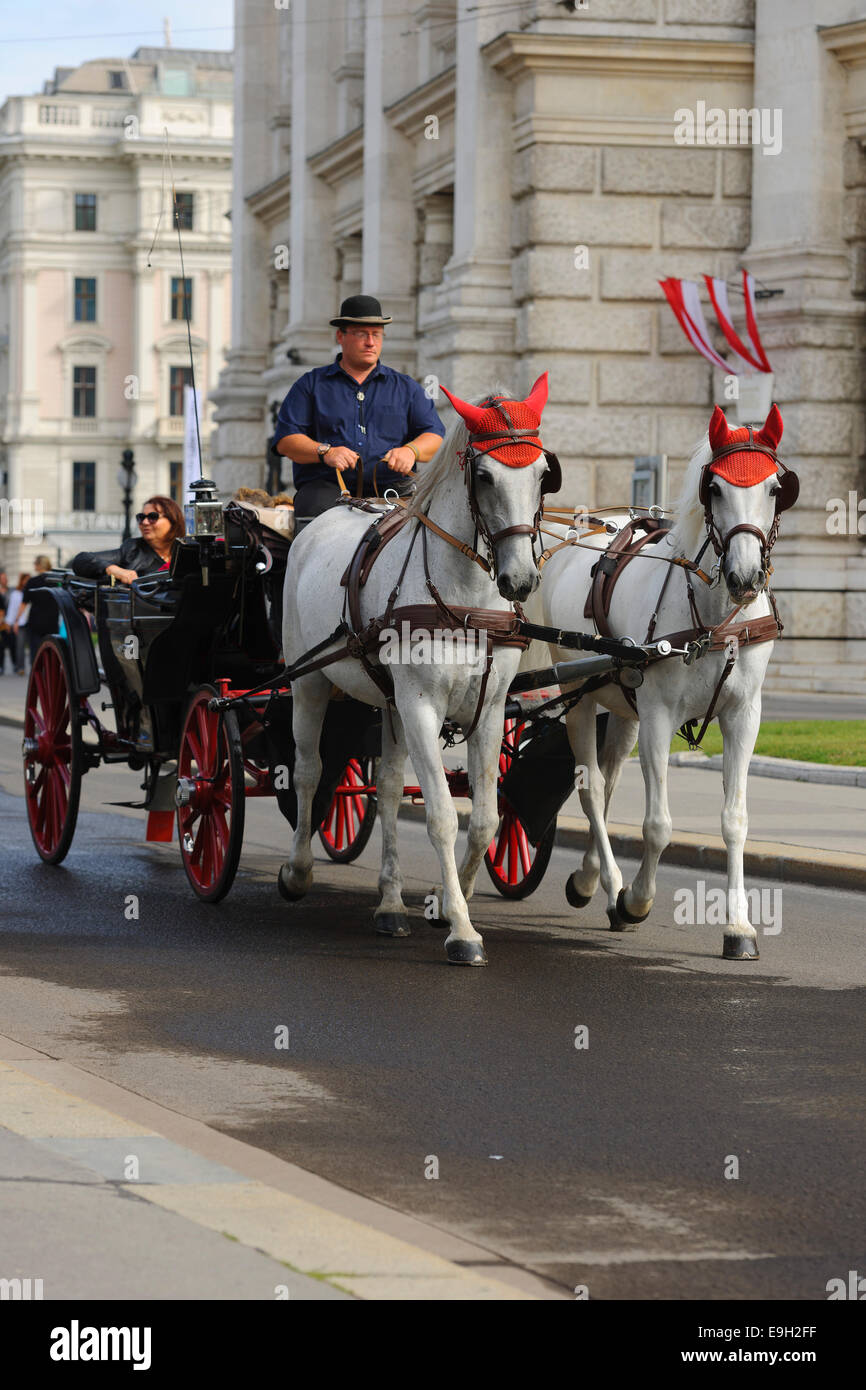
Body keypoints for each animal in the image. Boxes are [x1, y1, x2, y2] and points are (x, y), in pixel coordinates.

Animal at [280, 380, 558, 967]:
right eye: (484, 476)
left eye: (544, 472)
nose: (521, 580)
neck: (466, 602)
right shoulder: (422, 706)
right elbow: (442, 817)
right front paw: (462, 931)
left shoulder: (488, 711)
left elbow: (485, 819)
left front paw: (448, 901)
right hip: (309, 682)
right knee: (310, 771)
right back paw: (298, 871)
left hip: (389, 702)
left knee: (385, 788)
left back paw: (389, 905)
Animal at [525, 405, 795, 961]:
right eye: (714, 488)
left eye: (776, 487)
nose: (744, 578)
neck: (715, 619)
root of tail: (579, 532)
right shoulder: (658, 717)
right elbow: (657, 824)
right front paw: (636, 900)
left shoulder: (744, 716)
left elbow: (734, 820)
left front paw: (738, 927)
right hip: (583, 699)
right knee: (592, 788)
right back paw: (608, 886)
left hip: (622, 707)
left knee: (608, 784)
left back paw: (589, 878)